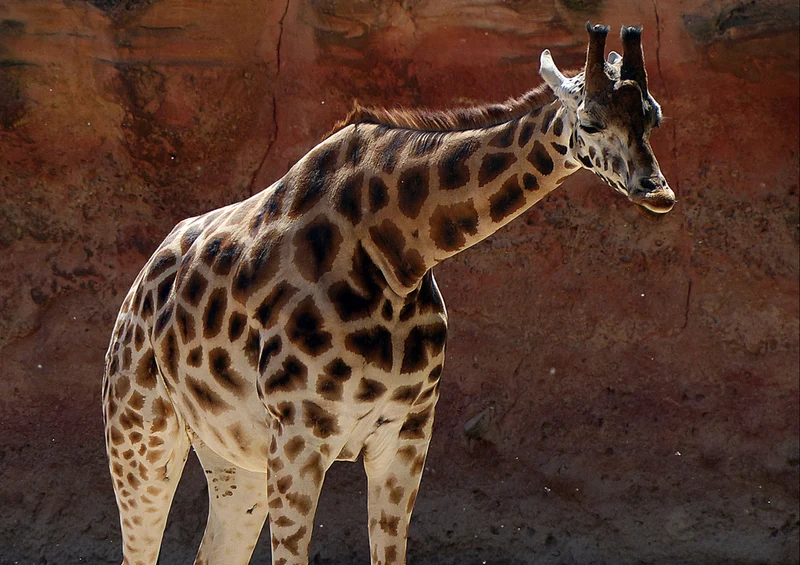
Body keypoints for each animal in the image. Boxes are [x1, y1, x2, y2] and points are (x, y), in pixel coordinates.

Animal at [102, 23, 674, 565]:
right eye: (591, 122)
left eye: (653, 118)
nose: (659, 192)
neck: (401, 254)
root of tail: (135, 294)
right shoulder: (299, 436)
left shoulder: (406, 435)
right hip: (140, 438)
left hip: (232, 460)